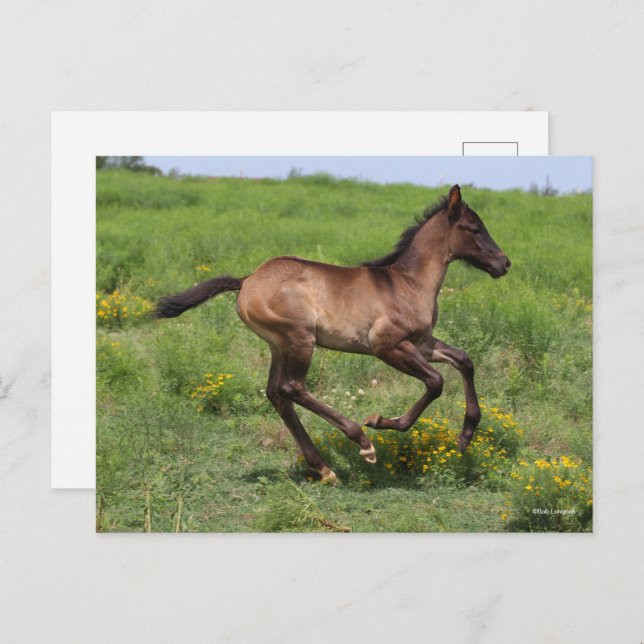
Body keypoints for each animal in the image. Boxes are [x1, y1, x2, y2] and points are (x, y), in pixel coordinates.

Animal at [155, 185, 510, 483]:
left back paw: (324, 468)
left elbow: (464, 360)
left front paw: (465, 437)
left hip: (278, 346)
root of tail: (247, 280)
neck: (408, 283)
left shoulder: (421, 344)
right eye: (474, 228)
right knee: (292, 388)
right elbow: (435, 382)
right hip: (300, 340)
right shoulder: (387, 346)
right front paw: (380, 421)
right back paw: (361, 442)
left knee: (276, 394)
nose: (504, 263)